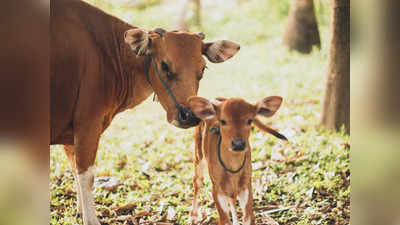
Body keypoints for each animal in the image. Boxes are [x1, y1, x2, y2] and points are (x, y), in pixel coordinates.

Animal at [48, 0, 239, 224]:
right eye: (165, 65)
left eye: (202, 69)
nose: (189, 116)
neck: (107, 54)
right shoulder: (87, 124)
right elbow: (86, 175)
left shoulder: (71, 133)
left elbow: (74, 169)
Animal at [188, 96, 284, 225]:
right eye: (223, 121)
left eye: (249, 120)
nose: (238, 144)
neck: (233, 168)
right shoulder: (217, 188)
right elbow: (224, 220)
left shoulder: (246, 185)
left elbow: (248, 218)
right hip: (198, 153)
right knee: (197, 181)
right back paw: (193, 215)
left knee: (232, 199)